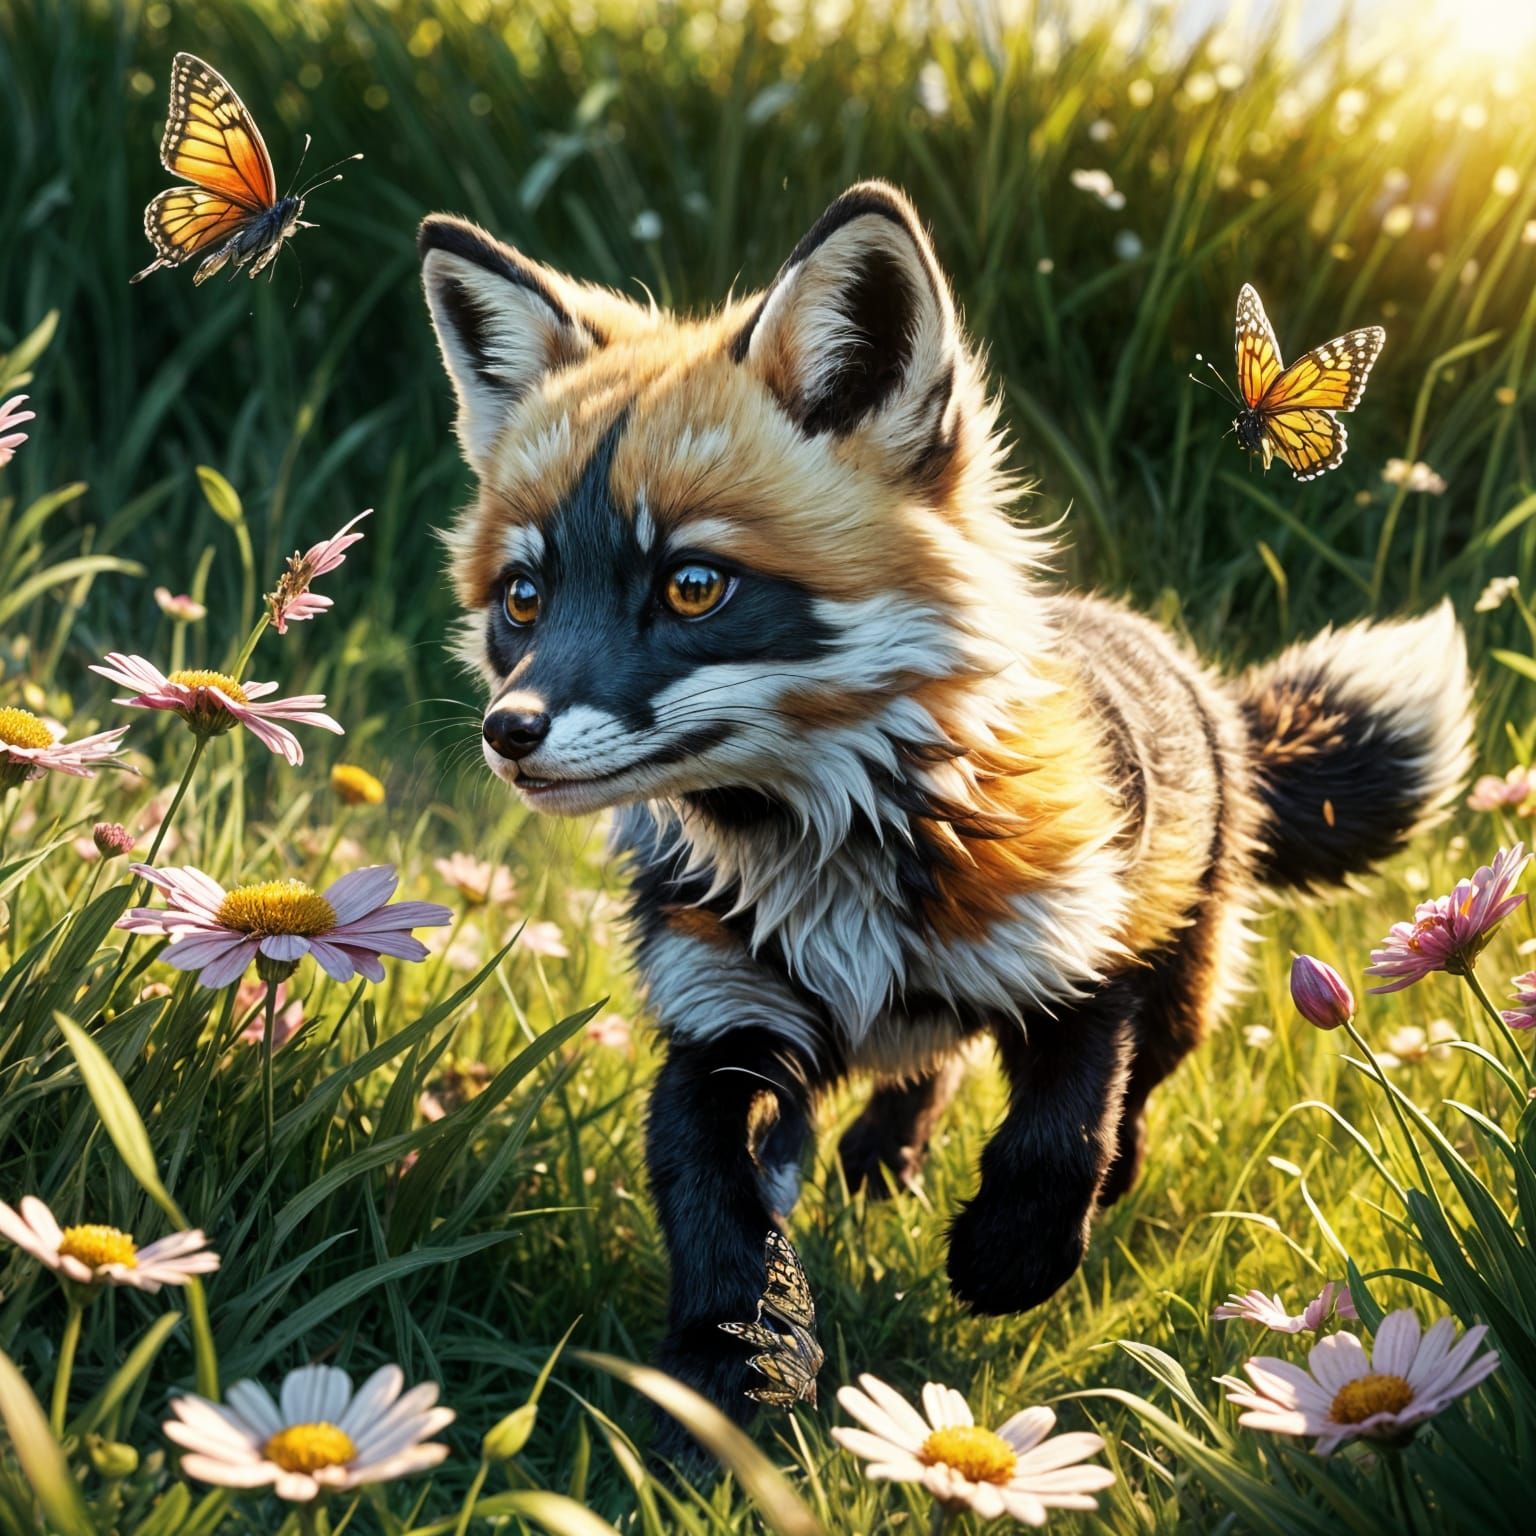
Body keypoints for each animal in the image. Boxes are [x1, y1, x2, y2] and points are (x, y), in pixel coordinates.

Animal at [417, 181, 1472, 1444]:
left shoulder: (1080, 959)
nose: (509, 732)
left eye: (694, 585)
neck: (833, 853)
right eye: (523, 599)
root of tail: (1196, 677)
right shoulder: (721, 1024)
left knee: (1116, 1102)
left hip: (1183, 983)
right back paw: (883, 1160)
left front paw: (1010, 1261)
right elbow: (720, 1226)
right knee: (926, 1071)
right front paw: (727, 1392)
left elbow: (1063, 1135)